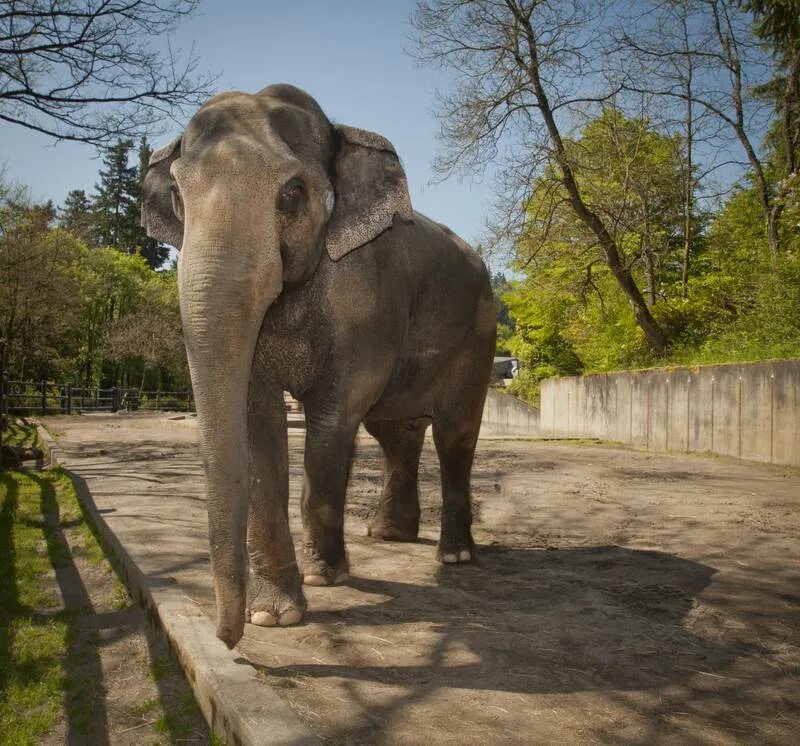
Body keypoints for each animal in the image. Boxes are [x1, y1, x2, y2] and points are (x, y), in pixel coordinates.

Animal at [142, 84, 494, 648]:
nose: (227, 639)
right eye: (176, 194)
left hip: (478, 334)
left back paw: (455, 556)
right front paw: (275, 615)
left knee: (454, 434)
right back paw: (388, 534)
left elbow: (334, 416)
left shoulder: (364, 292)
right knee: (394, 432)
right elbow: (258, 420)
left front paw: (323, 577)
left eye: (292, 193)